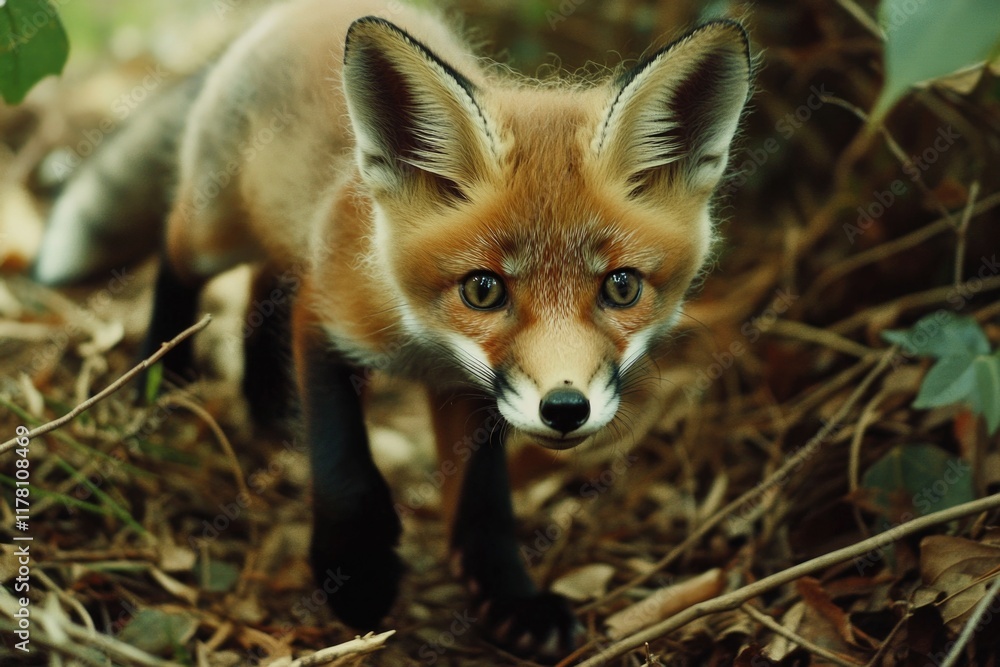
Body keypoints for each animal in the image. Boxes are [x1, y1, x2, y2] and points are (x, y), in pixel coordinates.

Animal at [33, 0, 751, 658]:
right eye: (483, 289)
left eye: (621, 287)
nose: (566, 408)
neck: (425, 343)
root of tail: (283, 14)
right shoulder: (326, 318)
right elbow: (344, 461)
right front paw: (356, 574)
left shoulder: (473, 390)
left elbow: (484, 502)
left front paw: (509, 598)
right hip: (217, 229)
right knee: (176, 251)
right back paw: (163, 374)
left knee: (264, 290)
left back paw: (267, 409)